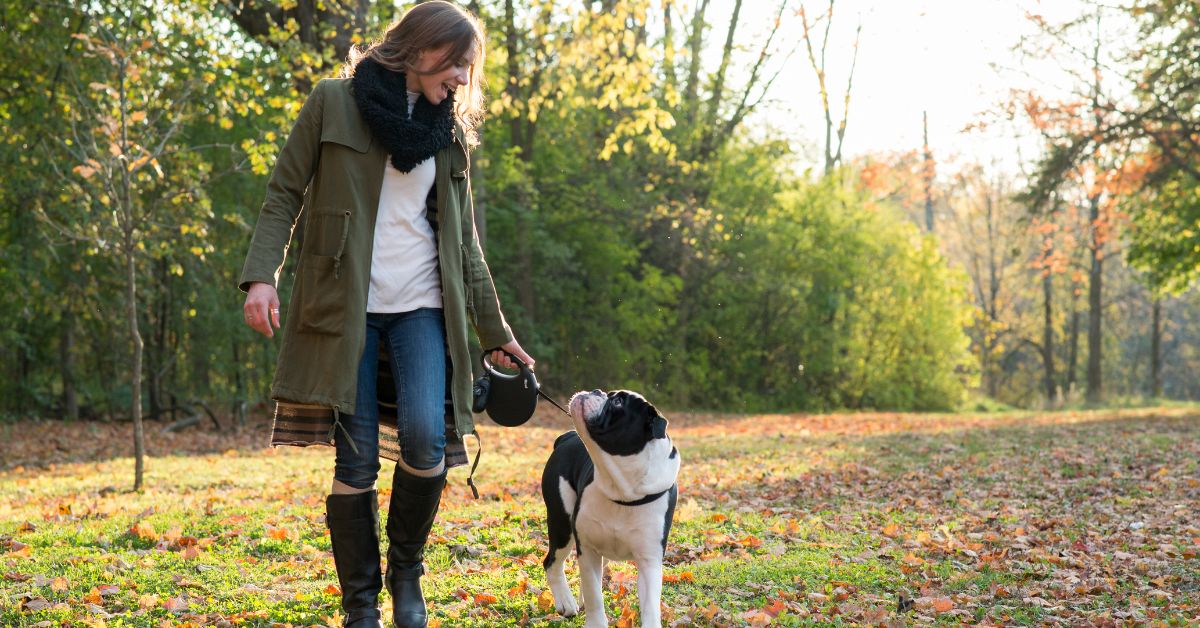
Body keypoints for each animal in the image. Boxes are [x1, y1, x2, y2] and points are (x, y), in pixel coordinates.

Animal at [540, 391, 681, 624]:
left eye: (617, 402)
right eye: (611, 396)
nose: (596, 391)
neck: (624, 490)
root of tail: (567, 438)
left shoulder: (649, 561)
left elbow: (650, 607)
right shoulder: (587, 548)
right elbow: (595, 596)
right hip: (562, 524)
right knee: (553, 562)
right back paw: (565, 602)